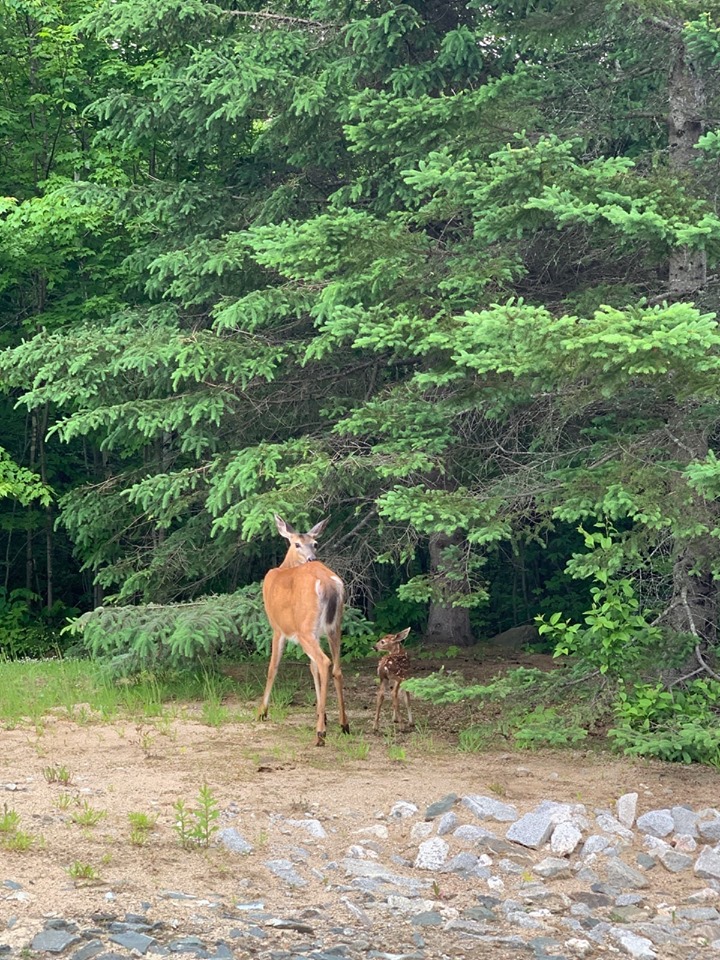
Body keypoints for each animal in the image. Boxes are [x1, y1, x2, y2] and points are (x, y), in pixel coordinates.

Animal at [258, 512, 348, 748]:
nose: (311, 558)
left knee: (324, 662)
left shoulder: (278, 628)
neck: (283, 568)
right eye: (297, 544)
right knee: (335, 667)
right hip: (334, 627)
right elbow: (311, 668)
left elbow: (273, 667)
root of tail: (328, 583)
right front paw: (321, 714)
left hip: (305, 629)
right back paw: (344, 725)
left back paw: (320, 734)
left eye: (315, 544)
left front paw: (262, 711)